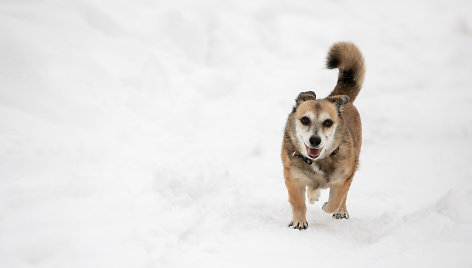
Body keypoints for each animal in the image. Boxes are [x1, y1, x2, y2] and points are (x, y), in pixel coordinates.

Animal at [280, 41, 366, 228]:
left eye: (328, 122)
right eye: (305, 120)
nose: (315, 140)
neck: (318, 160)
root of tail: (333, 97)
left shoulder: (345, 176)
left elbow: (336, 199)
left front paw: (329, 206)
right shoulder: (293, 177)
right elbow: (298, 202)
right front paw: (299, 222)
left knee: (343, 197)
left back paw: (340, 210)